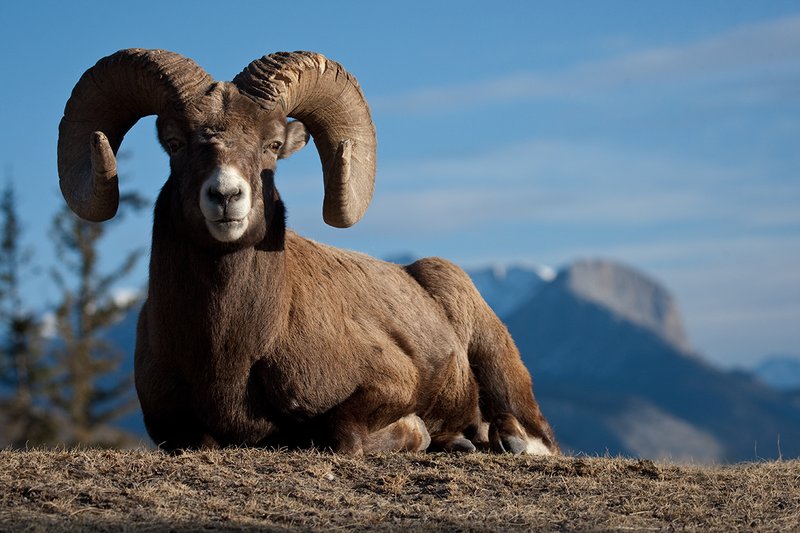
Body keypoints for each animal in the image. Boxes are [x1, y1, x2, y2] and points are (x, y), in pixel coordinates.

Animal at [57, 49, 558, 455]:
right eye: (175, 143)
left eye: (273, 145)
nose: (225, 196)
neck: (231, 351)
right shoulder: (171, 428)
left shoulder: (392, 382)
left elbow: (341, 434)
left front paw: (415, 435)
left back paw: (506, 442)